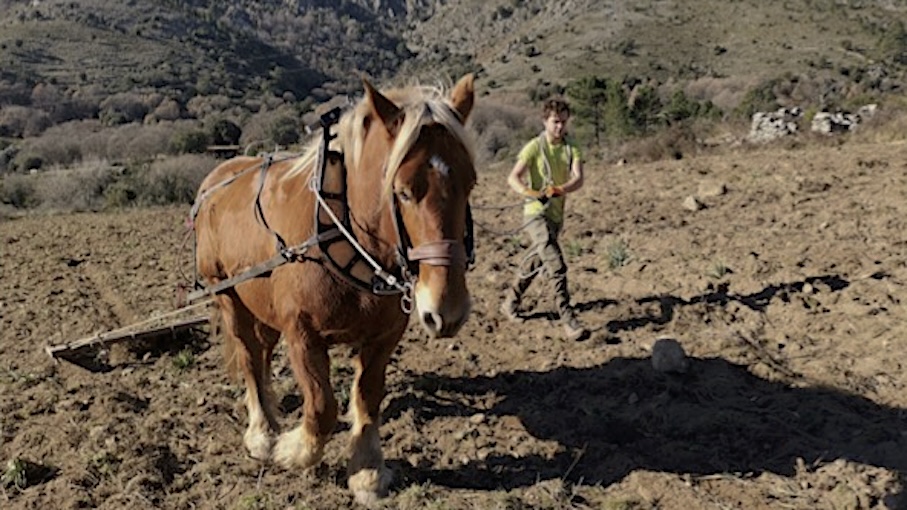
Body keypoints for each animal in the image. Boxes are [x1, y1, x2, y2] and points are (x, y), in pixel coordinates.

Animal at [194, 73, 478, 504]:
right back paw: (262, 432)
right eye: (403, 191)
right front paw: (293, 450)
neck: (340, 233)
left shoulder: (383, 337)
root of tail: (215, 179)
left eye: (470, 183)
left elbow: (368, 397)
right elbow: (322, 406)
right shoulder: (302, 335)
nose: (447, 312)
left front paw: (367, 471)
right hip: (227, 295)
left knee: (262, 353)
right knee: (248, 357)